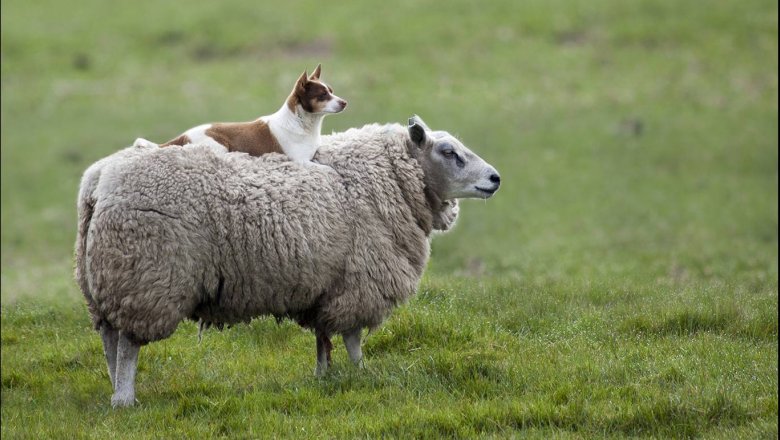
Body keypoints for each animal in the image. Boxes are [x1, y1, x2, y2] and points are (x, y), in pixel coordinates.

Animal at [73, 115, 500, 408]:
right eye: (449, 152)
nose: (495, 178)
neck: (387, 179)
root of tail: (99, 180)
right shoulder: (360, 281)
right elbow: (352, 337)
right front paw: (362, 373)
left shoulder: (326, 284)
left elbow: (323, 338)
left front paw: (324, 378)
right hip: (144, 276)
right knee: (128, 343)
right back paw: (125, 398)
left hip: (103, 280)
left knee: (110, 338)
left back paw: (115, 387)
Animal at [147, 65, 348, 167]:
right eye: (323, 95)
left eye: (331, 91)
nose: (345, 102)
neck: (302, 124)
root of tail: (183, 136)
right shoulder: (301, 161)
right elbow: (327, 168)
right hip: (219, 148)